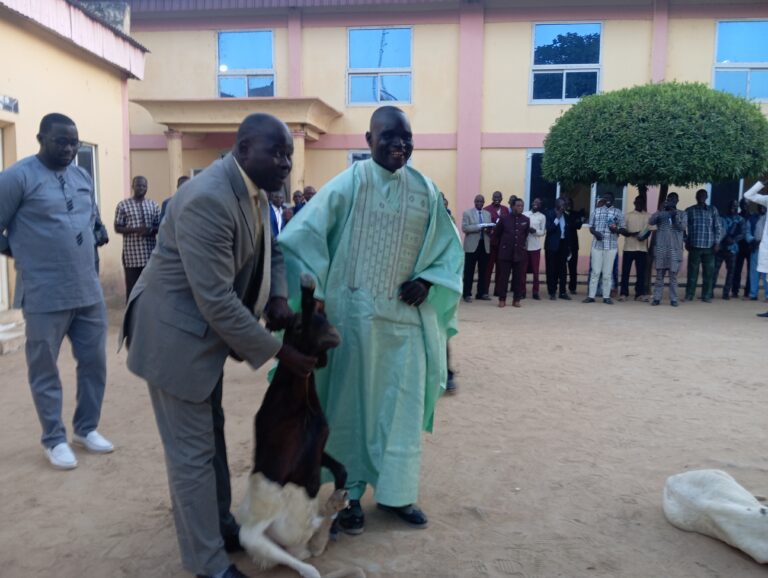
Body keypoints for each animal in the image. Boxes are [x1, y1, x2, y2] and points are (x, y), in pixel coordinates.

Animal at [240, 274, 366, 576]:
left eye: (326, 315)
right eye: (297, 325)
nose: (334, 334)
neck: (299, 405)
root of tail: (299, 546)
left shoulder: (318, 446)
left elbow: (342, 469)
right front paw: (307, 287)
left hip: (301, 537)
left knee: (316, 538)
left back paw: (335, 505)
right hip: (258, 536)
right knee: (308, 565)